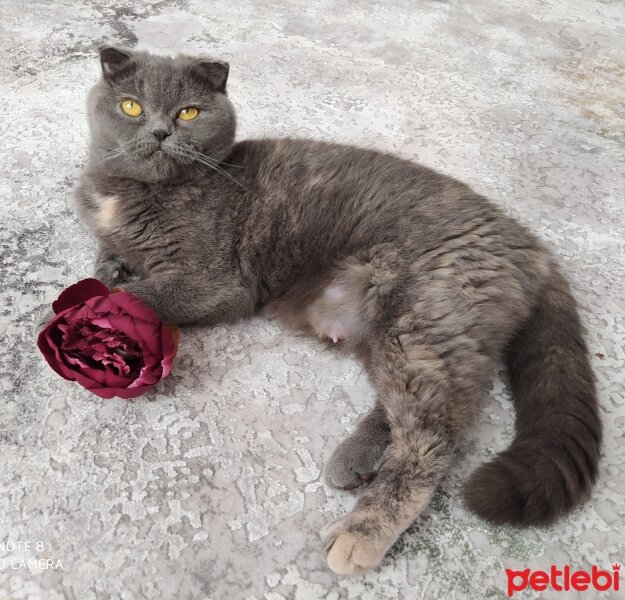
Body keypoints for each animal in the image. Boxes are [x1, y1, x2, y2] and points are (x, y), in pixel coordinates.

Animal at [72, 45, 600, 572]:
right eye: (132, 107)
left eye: (189, 113)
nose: (161, 132)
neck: (132, 195)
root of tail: (530, 244)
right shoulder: (116, 244)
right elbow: (104, 268)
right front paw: (100, 281)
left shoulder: (214, 281)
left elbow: (133, 295)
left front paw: (77, 317)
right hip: (412, 330)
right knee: (426, 402)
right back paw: (358, 459)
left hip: (421, 315)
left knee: (432, 437)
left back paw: (361, 531)